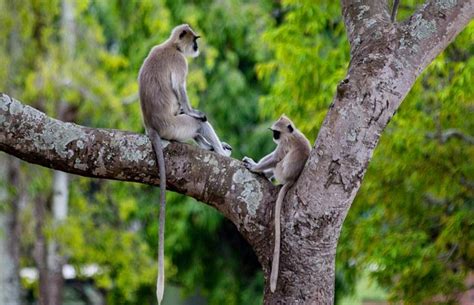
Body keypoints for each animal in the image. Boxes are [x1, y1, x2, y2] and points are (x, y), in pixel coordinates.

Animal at [137, 24, 231, 304]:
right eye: (194, 39)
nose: (197, 46)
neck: (171, 46)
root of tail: (152, 127)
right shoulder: (180, 63)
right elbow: (181, 92)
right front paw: (196, 112)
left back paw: (212, 148)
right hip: (175, 127)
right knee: (196, 122)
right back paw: (220, 152)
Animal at [244, 114, 312, 292]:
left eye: (276, 132)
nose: (273, 136)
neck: (292, 133)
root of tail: (291, 180)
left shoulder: (284, 143)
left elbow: (275, 157)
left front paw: (254, 167)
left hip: (281, 171)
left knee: (277, 162)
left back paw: (261, 171)